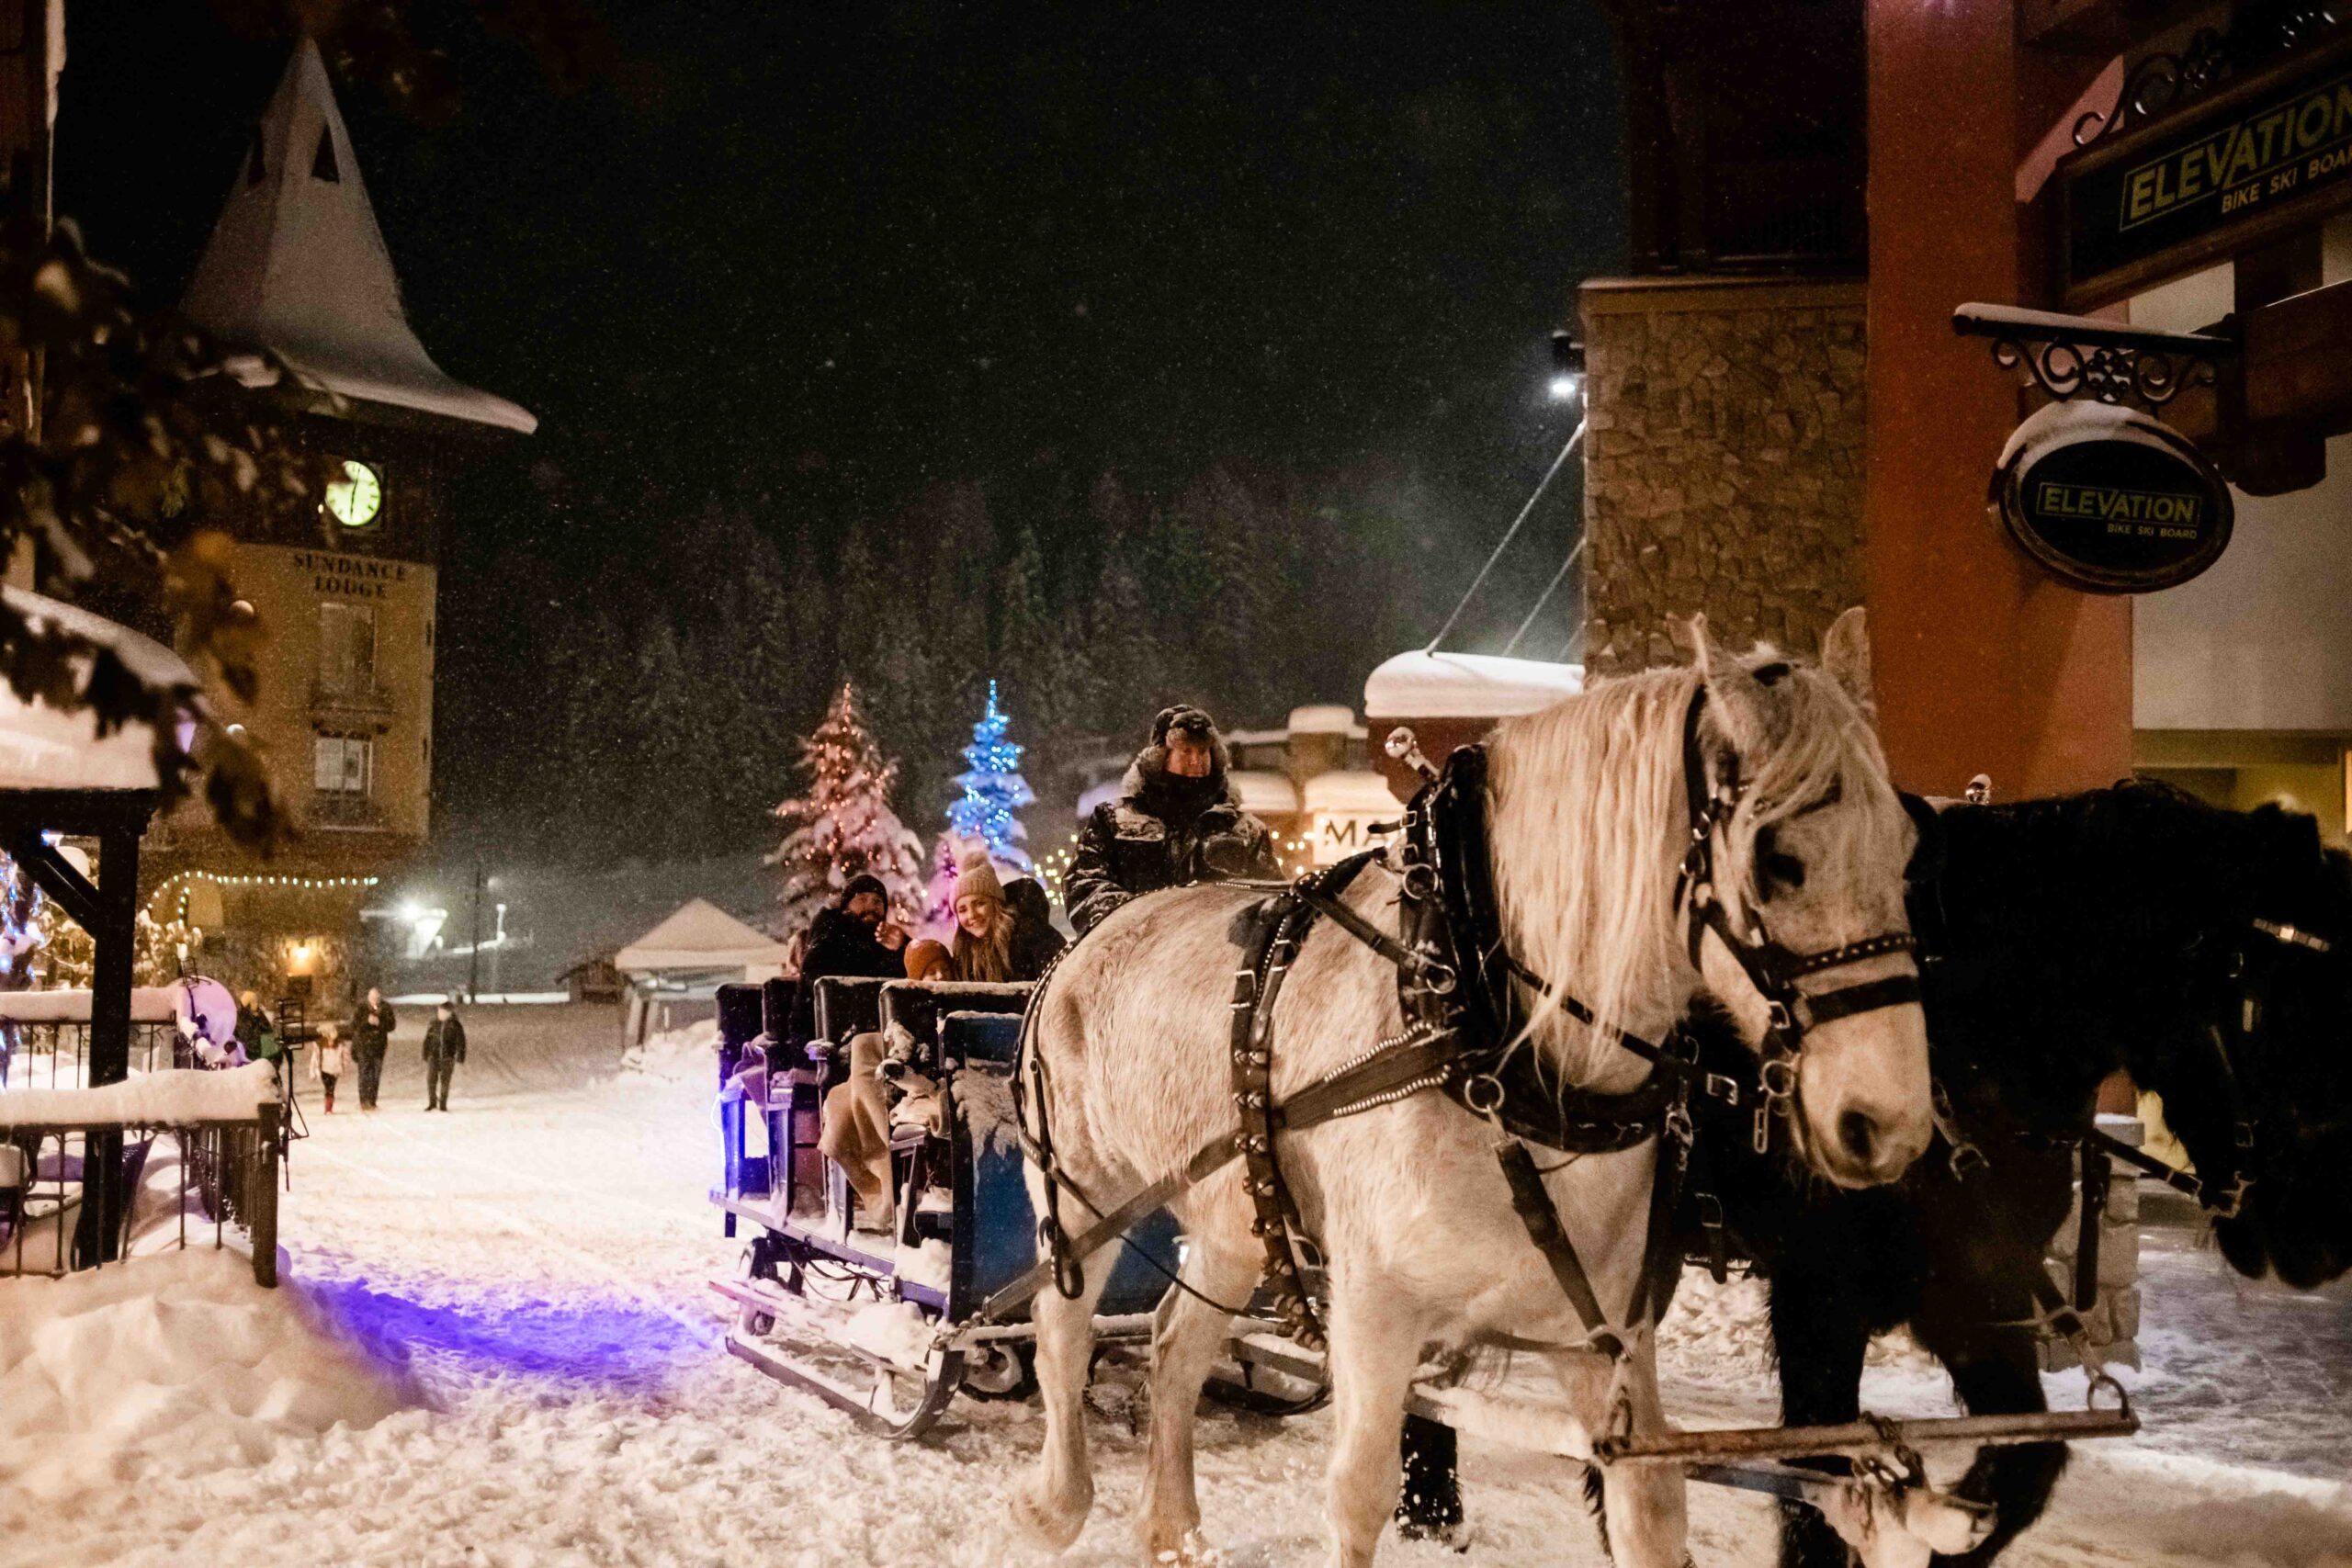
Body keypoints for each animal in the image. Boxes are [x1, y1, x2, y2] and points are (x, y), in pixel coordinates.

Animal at [1021, 611, 1938, 1568]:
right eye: (1778, 858)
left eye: (1907, 851)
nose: (1889, 1121)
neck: (1475, 1019)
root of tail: (1087, 941)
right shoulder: (1374, 1311)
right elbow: (1359, 1495)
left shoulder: (1603, 1336)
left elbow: (1649, 1507)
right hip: (1082, 1196)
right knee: (1060, 1330)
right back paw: (1058, 1501)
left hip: (1233, 1220)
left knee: (1176, 1344)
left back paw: (1171, 1526)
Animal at [1712, 784, 2352, 1568]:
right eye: (2282, 1014)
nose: (2324, 1237)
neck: (1959, 1026)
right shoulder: (1820, 1291)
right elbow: (1815, 1496)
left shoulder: (1974, 1291)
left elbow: (2026, 1465)